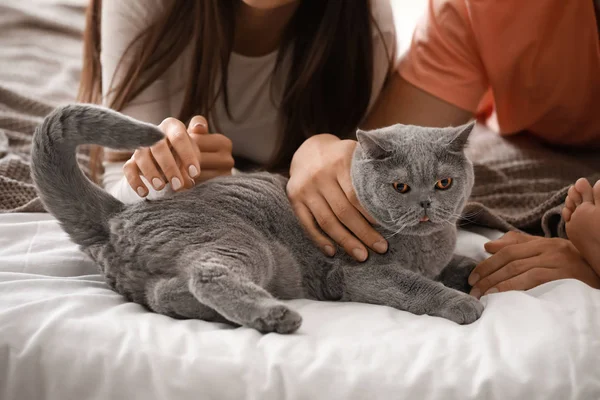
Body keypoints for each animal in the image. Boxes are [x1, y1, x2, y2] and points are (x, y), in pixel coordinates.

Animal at [31, 104, 482, 334]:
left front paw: (473, 272)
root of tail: (120, 213)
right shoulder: (359, 272)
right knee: (206, 275)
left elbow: (455, 266)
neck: (426, 245)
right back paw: (275, 316)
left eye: (444, 182)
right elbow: (414, 285)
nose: (426, 204)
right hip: (241, 241)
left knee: (161, 295)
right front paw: (462, 303)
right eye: (401, 187)